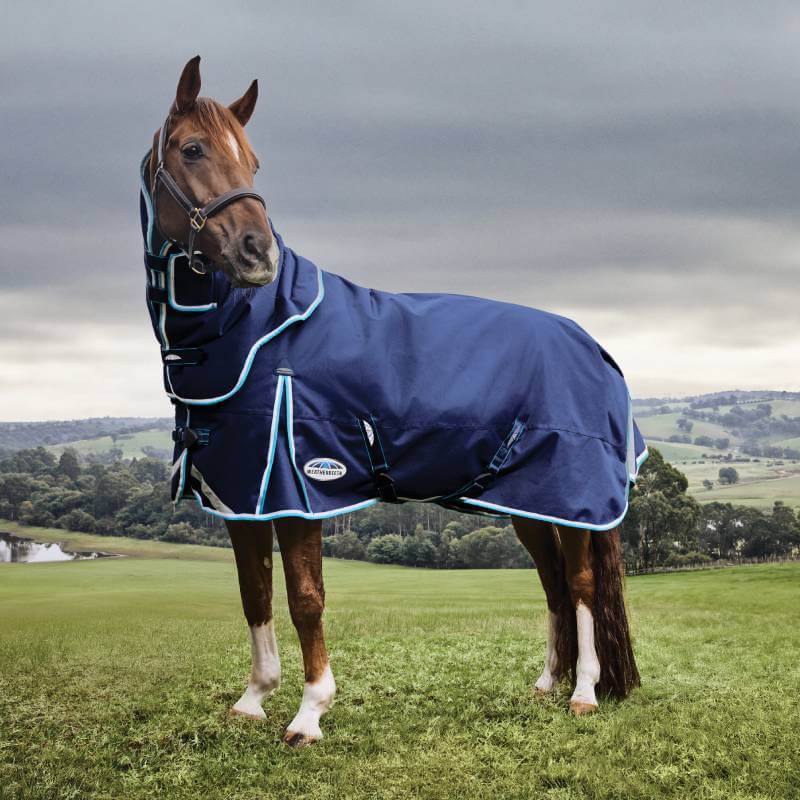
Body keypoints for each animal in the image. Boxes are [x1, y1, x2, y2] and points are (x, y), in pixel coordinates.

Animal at [140, 56, 641, 747]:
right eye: (192, 149)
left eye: (254, 163)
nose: (257, 253)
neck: (257, 332)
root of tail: (594, 347)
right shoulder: (245, 495)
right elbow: (254, 595)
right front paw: (253, 700)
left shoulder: (301, 489)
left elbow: (304, 598)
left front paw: (309, 713)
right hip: (525, 503)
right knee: (554, 584)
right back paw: (547, 683)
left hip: (575, 501)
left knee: (584, 583)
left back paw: (585, 693)